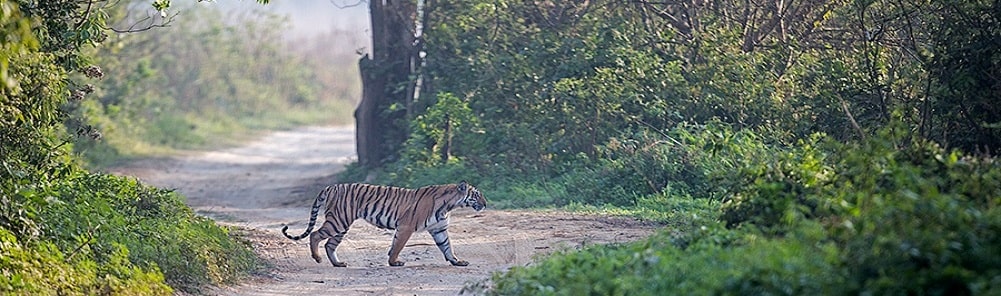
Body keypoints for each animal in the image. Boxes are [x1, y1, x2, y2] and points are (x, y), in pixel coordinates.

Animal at [280, 182, 486, 268]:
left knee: (330, 244)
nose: (485, 204)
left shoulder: (439, 229)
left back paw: (338, 264)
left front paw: (457, 261)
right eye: (477, 195)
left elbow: (447, 247)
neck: (449, 206)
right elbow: (398, 246)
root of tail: (332, 186)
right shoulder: (406, 226)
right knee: (315, 235)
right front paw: (394, 262)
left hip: (342, 225)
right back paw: (317, 258)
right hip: (338, 221)